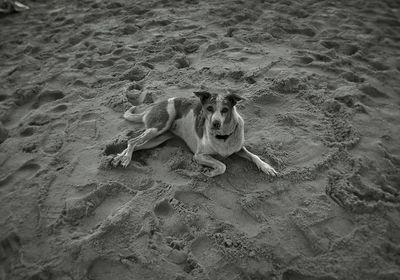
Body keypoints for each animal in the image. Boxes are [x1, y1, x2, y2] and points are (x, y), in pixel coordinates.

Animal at [111, 90, 276, 177]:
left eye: (225, 110)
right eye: (209, 108)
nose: (215, 123)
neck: (222, 137)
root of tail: (152, 107)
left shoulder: (239, 148)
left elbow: (255, 156)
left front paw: (267, 167)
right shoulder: (199, 155)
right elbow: (222, 166)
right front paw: (209, 171)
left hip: (158, 138)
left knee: (136, 145)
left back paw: (119, 157)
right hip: (159, 127)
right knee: (132, 141)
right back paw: (125, 159)